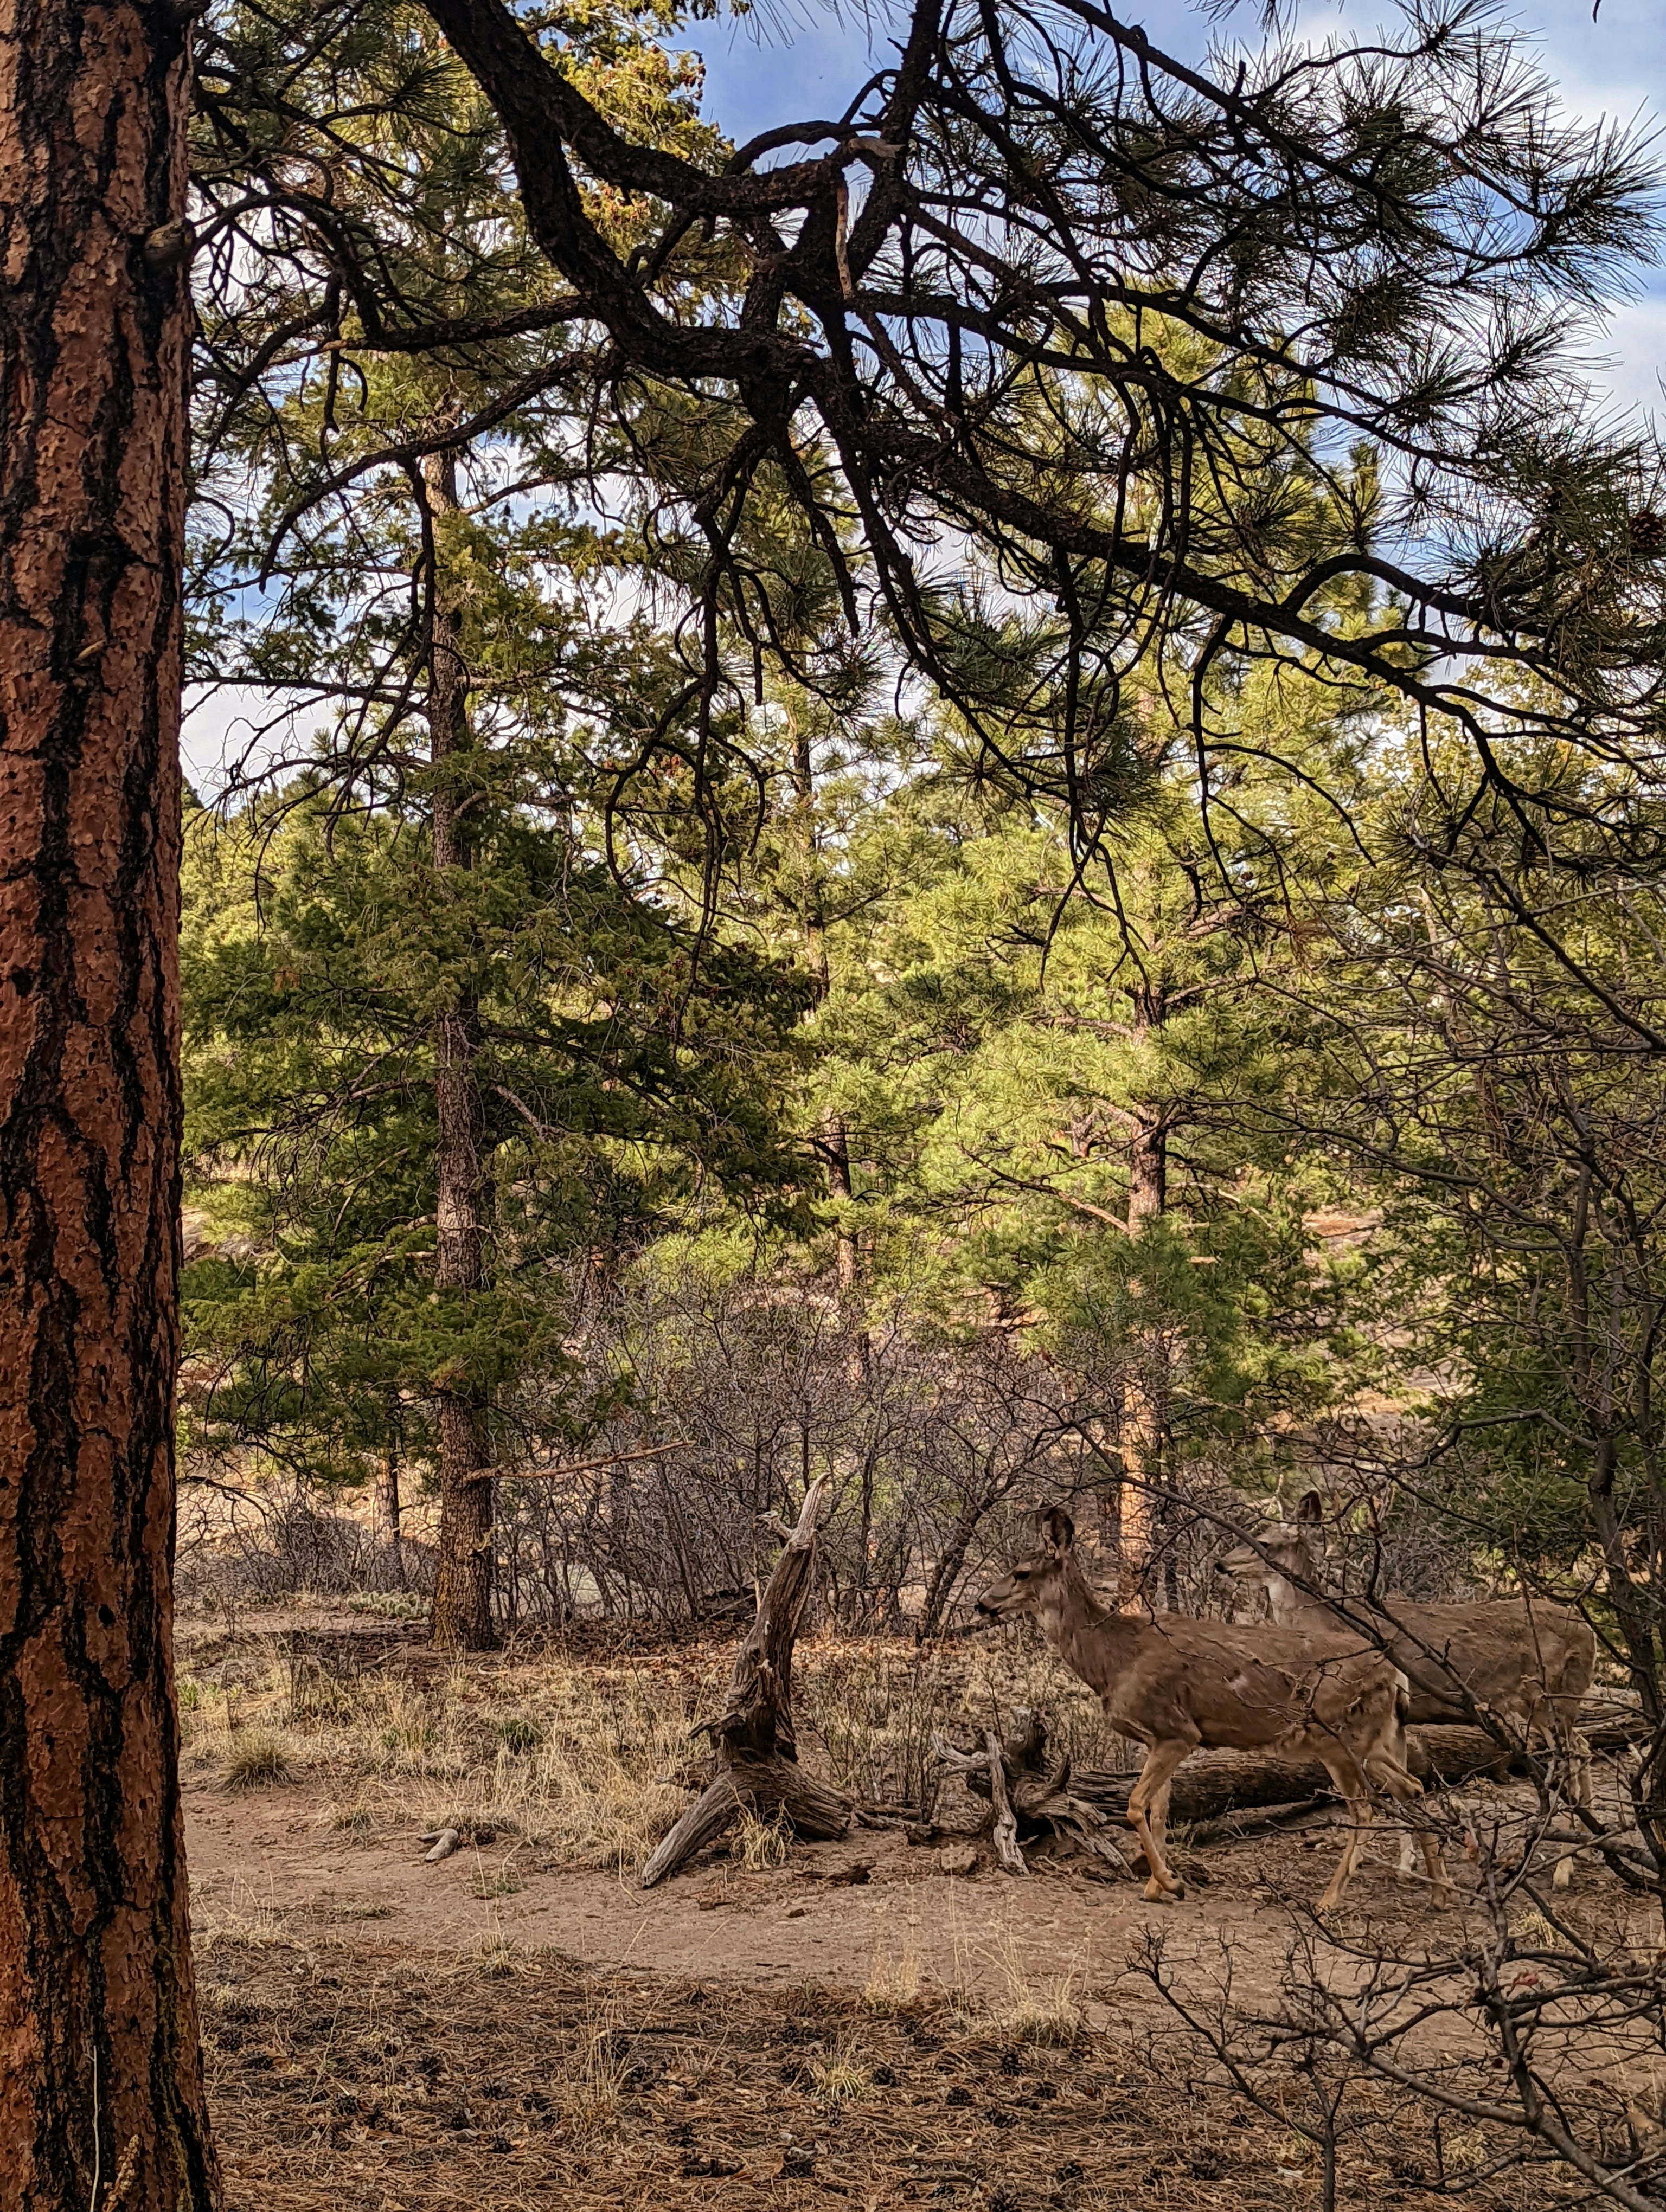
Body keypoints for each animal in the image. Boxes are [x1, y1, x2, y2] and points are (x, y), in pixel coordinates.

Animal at [975, 1507, 1451, 1911]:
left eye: (1021, 1572)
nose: (982, 1602)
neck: (1115, 1658)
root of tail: (1395, 1672)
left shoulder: (1177, 1731)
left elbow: (1135, 1805)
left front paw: (1171, 1883)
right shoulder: (1160, 1738)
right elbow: (1160, 1811)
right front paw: (1158, 1885)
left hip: (1341, 1737)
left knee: (1366, 1808)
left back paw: (1330, 1900)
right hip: (1374, 1736)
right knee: (1412, 1786)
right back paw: (1438, 1892)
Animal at [1214, 1491, 1596, 1886]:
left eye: (1265, 1543)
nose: (1220, 1564)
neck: (1328, 1625)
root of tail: (1590, 1632)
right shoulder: (1399, 1718)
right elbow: (1404, 1786)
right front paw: (1407, 1865)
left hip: (1553, 1696)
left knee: (1573, 1756)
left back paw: (1564, 1868)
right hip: (1537, 1704)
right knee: (1584, 1746)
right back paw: (1586, 1846)